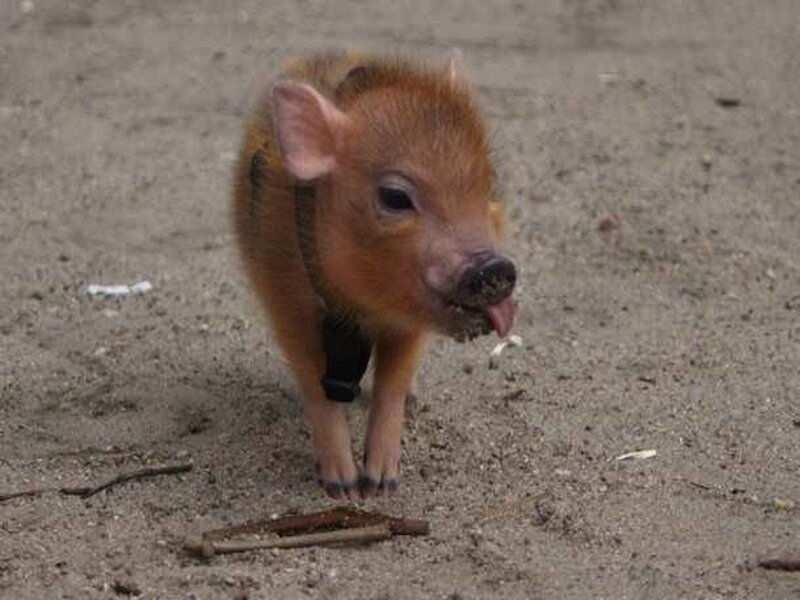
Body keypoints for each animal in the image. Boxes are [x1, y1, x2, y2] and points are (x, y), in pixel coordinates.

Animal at [232, 51, 517, 499]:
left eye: (491, 184)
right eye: (395, 197)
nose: (494, 266)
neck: (361, 306)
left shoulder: (408, 325)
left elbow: (392, 384)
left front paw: (382, 486)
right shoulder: (285, 300)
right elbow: (314, 385)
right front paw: (345, 489)